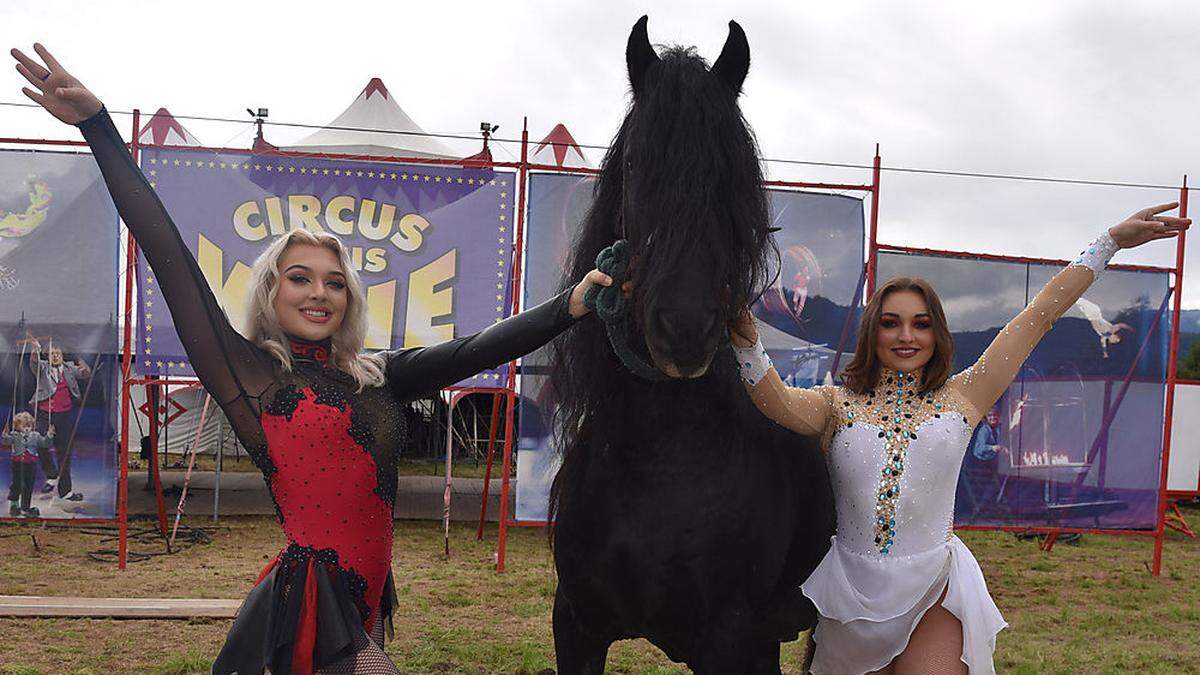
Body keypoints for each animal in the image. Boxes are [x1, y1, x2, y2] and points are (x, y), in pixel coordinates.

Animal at [547, 15, 835, 672]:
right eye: (633, 163)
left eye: (732, 173)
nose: (683, 331)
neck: (655, 460)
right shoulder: (576, 626)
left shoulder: (726, 640)